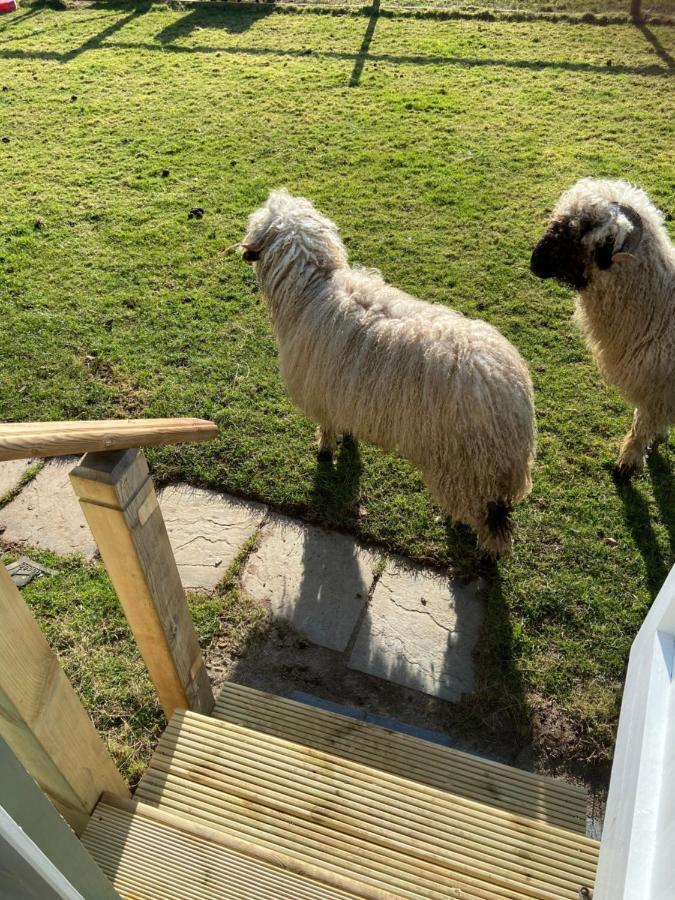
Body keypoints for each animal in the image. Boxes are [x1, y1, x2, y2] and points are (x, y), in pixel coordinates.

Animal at [240, 190, 536, 556]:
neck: (311, 288)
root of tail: (511, 395)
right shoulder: (343, 392)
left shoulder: (322, 392)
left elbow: (326, 427)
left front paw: (325, 451)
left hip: (466, 463)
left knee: (490, 522)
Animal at [532, 178, 675, 482]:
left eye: (581, 232)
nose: (535, 261)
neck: (659, 310)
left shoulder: (656, 383)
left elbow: (641, 423)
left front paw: (628, 462)